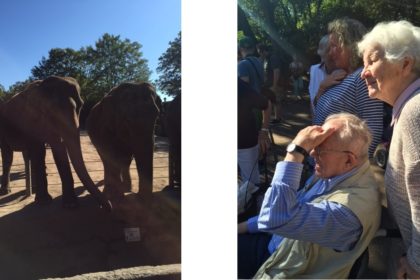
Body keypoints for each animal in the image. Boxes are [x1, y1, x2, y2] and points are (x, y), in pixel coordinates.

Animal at [0, 75, 111, 211]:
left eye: (80, 106)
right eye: (51, 110)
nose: (108, 207)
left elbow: (58, 149)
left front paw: (70, 205)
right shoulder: (31, 119)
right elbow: (39, 151)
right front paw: (44, 202)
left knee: (26, 156)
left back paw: (33, 189)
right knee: (8, 156)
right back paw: (6, 191)